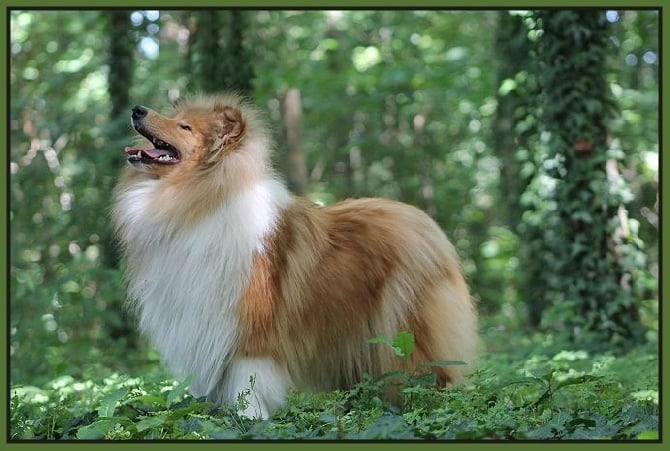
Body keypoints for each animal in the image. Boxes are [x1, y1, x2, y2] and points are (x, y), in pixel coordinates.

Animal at [113, 92, 478, 420]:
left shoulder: (251, 328)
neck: (197, 200)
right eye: (177, 119)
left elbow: (249, 379)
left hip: (405, 325)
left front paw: (250, 420)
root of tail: (427, 225)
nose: (137, 109)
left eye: (184, 127)